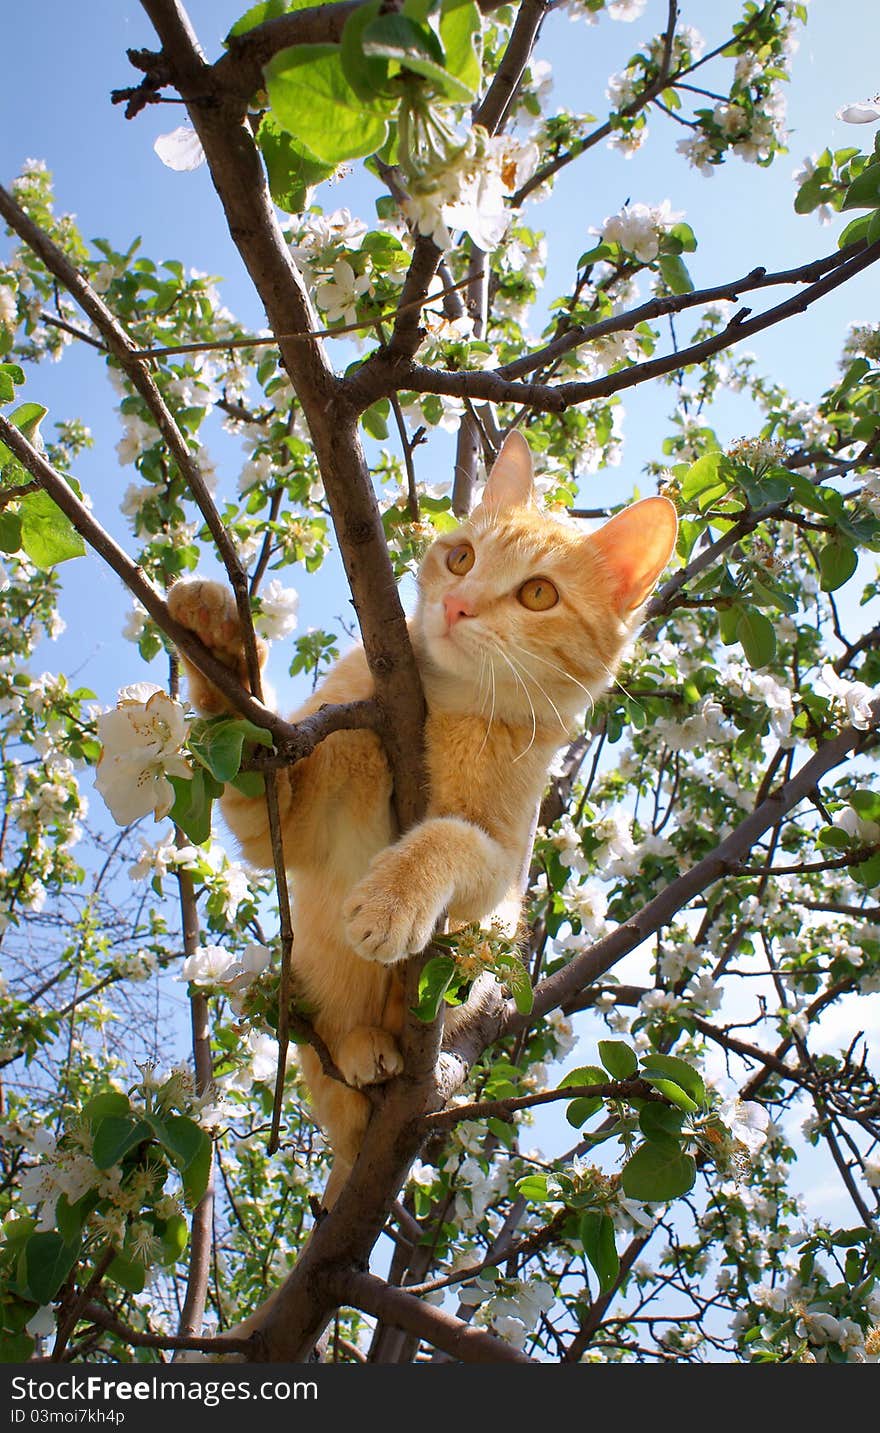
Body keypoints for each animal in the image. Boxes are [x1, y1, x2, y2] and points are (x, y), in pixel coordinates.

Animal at [170, 429, 682, 1203]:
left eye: (538, 594)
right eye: (461, 556)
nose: (458, 605)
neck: (441, 707)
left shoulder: (504, 871)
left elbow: (448, 837)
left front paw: (391, 897)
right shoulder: (288, 820)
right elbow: (255, 761)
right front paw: (221, 642)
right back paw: (358, 1049)